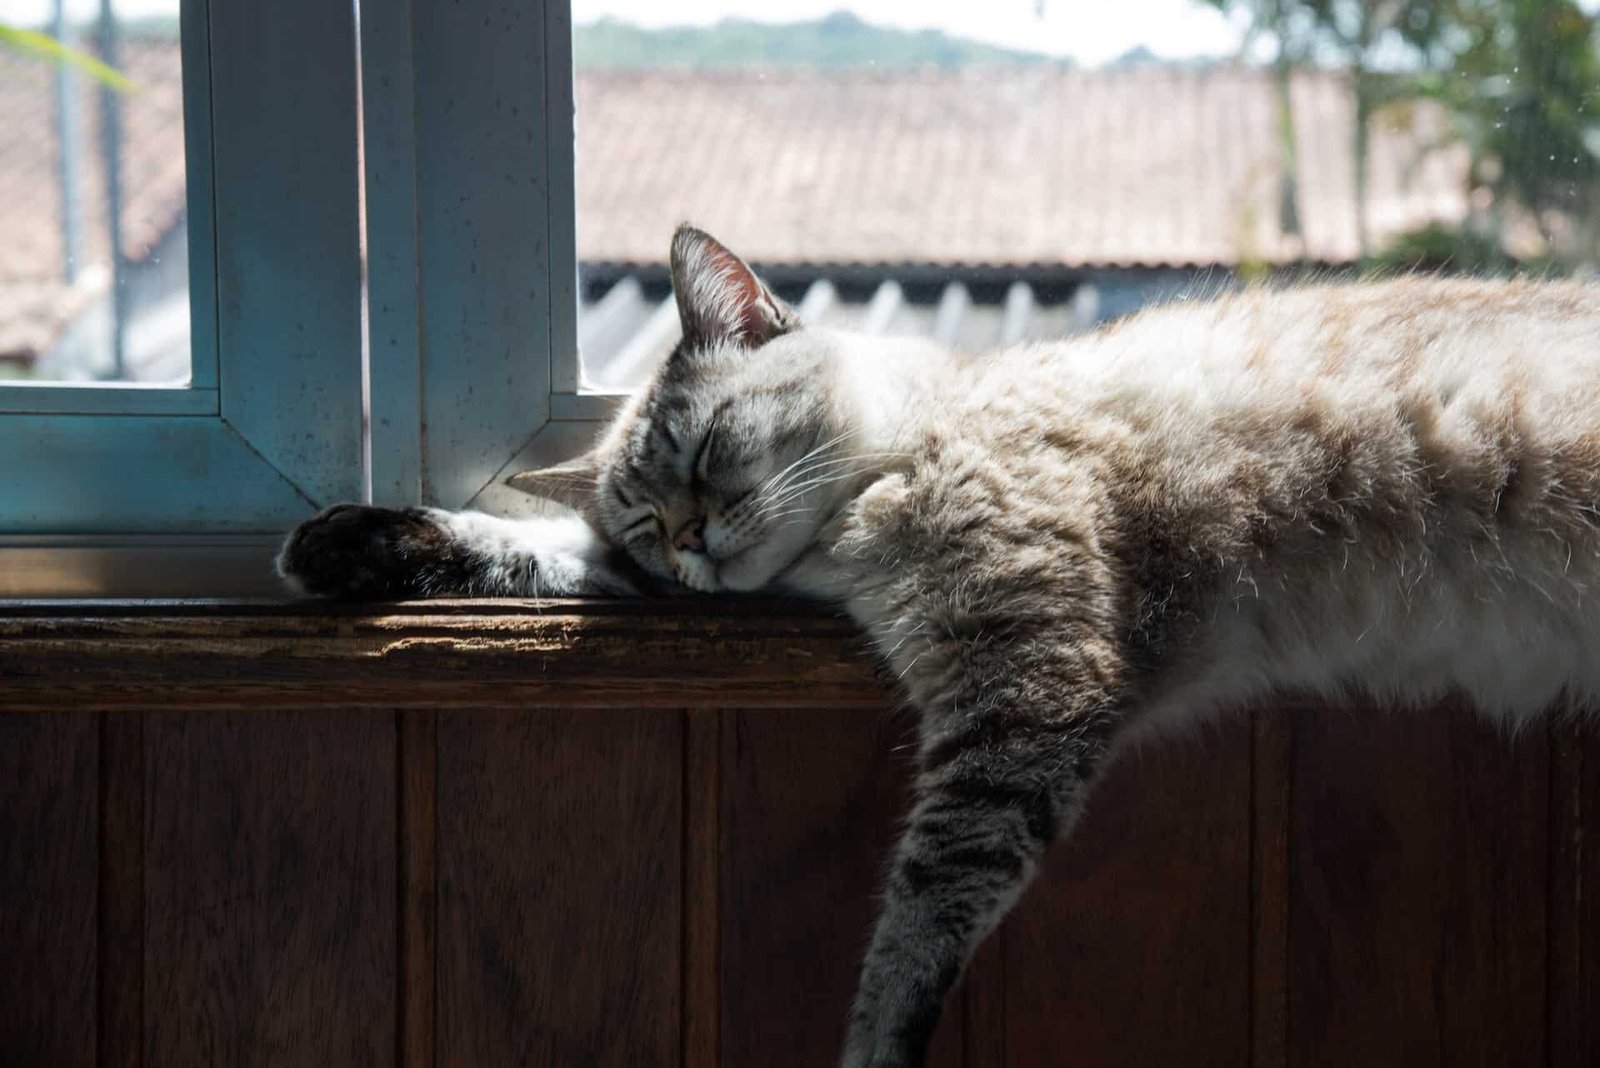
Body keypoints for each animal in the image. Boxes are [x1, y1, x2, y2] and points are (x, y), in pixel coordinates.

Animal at [278, 227, 1600, 1068]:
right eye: (649, 522)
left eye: (706, 452)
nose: (695, 543)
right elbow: (531, 546)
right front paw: (345, 547)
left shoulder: (1024, 684)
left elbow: (915, 919)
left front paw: (870, 1051)